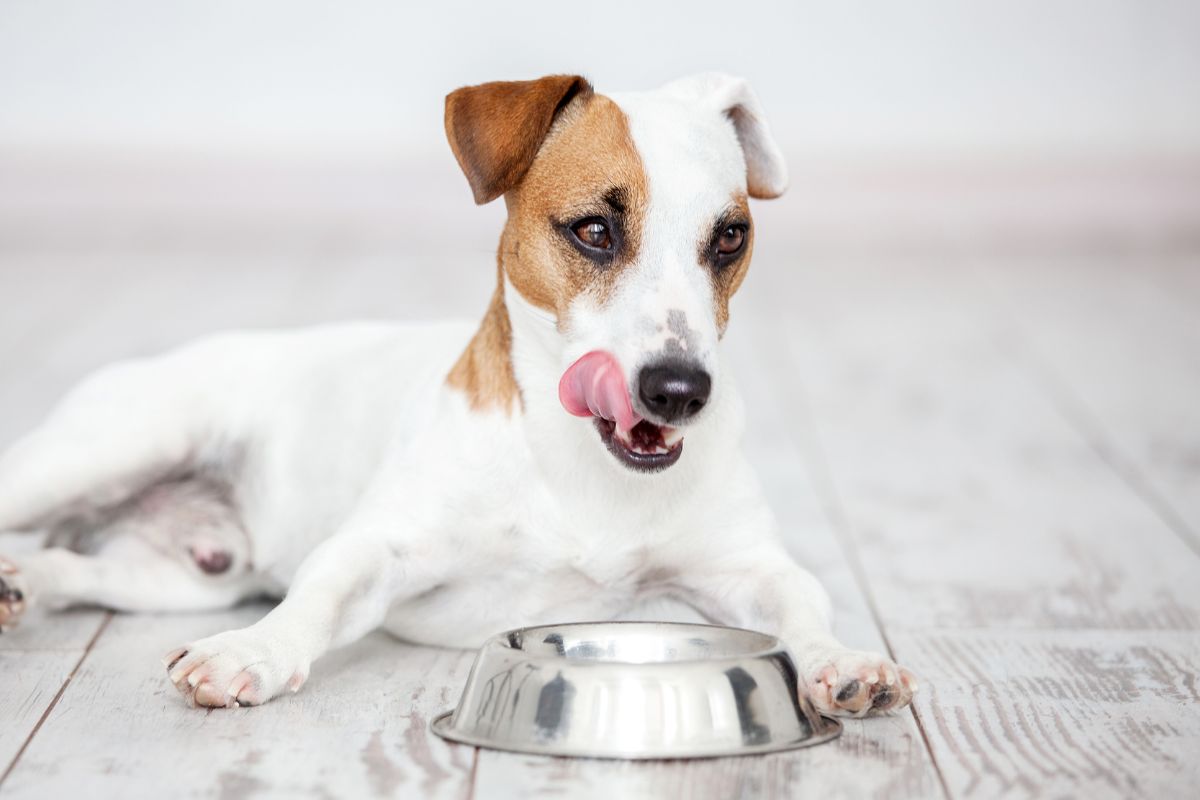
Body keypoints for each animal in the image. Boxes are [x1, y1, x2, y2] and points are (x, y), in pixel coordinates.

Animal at [2, 71, 916, 714]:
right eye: (594, 230)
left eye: (729, 237)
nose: (680, 390)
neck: (577, 464)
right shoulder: (379, 548)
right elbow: (320, 594)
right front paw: (251, 653)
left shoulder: (745, 567)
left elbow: (801, 600)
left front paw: (843, 659)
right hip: (108, 449)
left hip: (186, 578)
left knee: (71, 566)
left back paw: (21, 584)